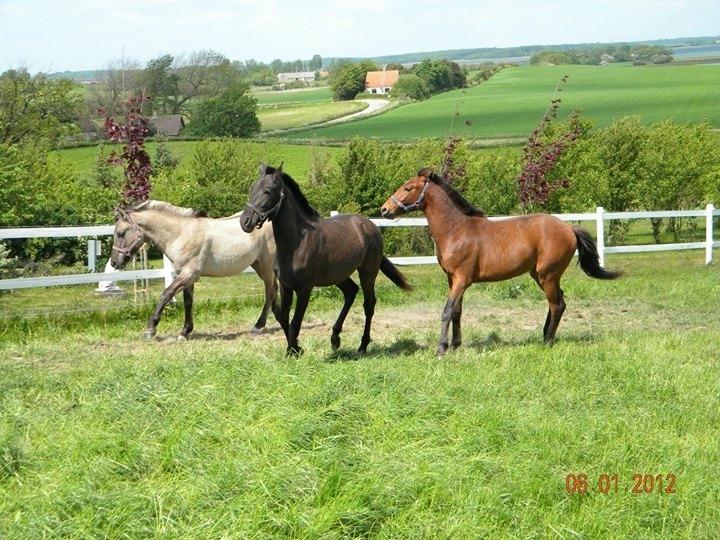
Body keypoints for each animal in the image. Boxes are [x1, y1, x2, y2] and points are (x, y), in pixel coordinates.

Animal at [110, 200, 278, 340]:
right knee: (274, 289)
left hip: (266, 265)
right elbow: (188, 302)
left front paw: (150, 330)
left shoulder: (189, 274)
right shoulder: (186, 276)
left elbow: (166, 294)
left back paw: (258, 325)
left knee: (269, 290)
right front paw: (184, 332)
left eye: (121, 233)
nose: (114, 263)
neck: (180, 234)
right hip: (257, 265)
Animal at [240, 165, 410, 358]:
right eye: (252, 188)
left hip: (368, 272)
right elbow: (283, 317)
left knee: (369, 304)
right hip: (338, 275)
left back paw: (362, 346)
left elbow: (295, 322)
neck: (296, 243)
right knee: (351, 292)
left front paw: (292, 352)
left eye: (268, 191)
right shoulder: (285, 285)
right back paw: (335, 338)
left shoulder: (304, 289)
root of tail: (371, 226)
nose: (245, 221)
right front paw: (296, 349)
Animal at [380, 168, 620, 354]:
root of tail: (569, 228)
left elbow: (447, 310)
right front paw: (455, 345)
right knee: (558, 302)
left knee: (557, 304)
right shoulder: (452, 279)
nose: (384, 209)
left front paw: (441, 349)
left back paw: (548, 341)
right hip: (540, 275)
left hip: (548, 275)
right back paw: (544, 336)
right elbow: (457, 311)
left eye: (408, 188)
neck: (456, 230)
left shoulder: (461, 280)